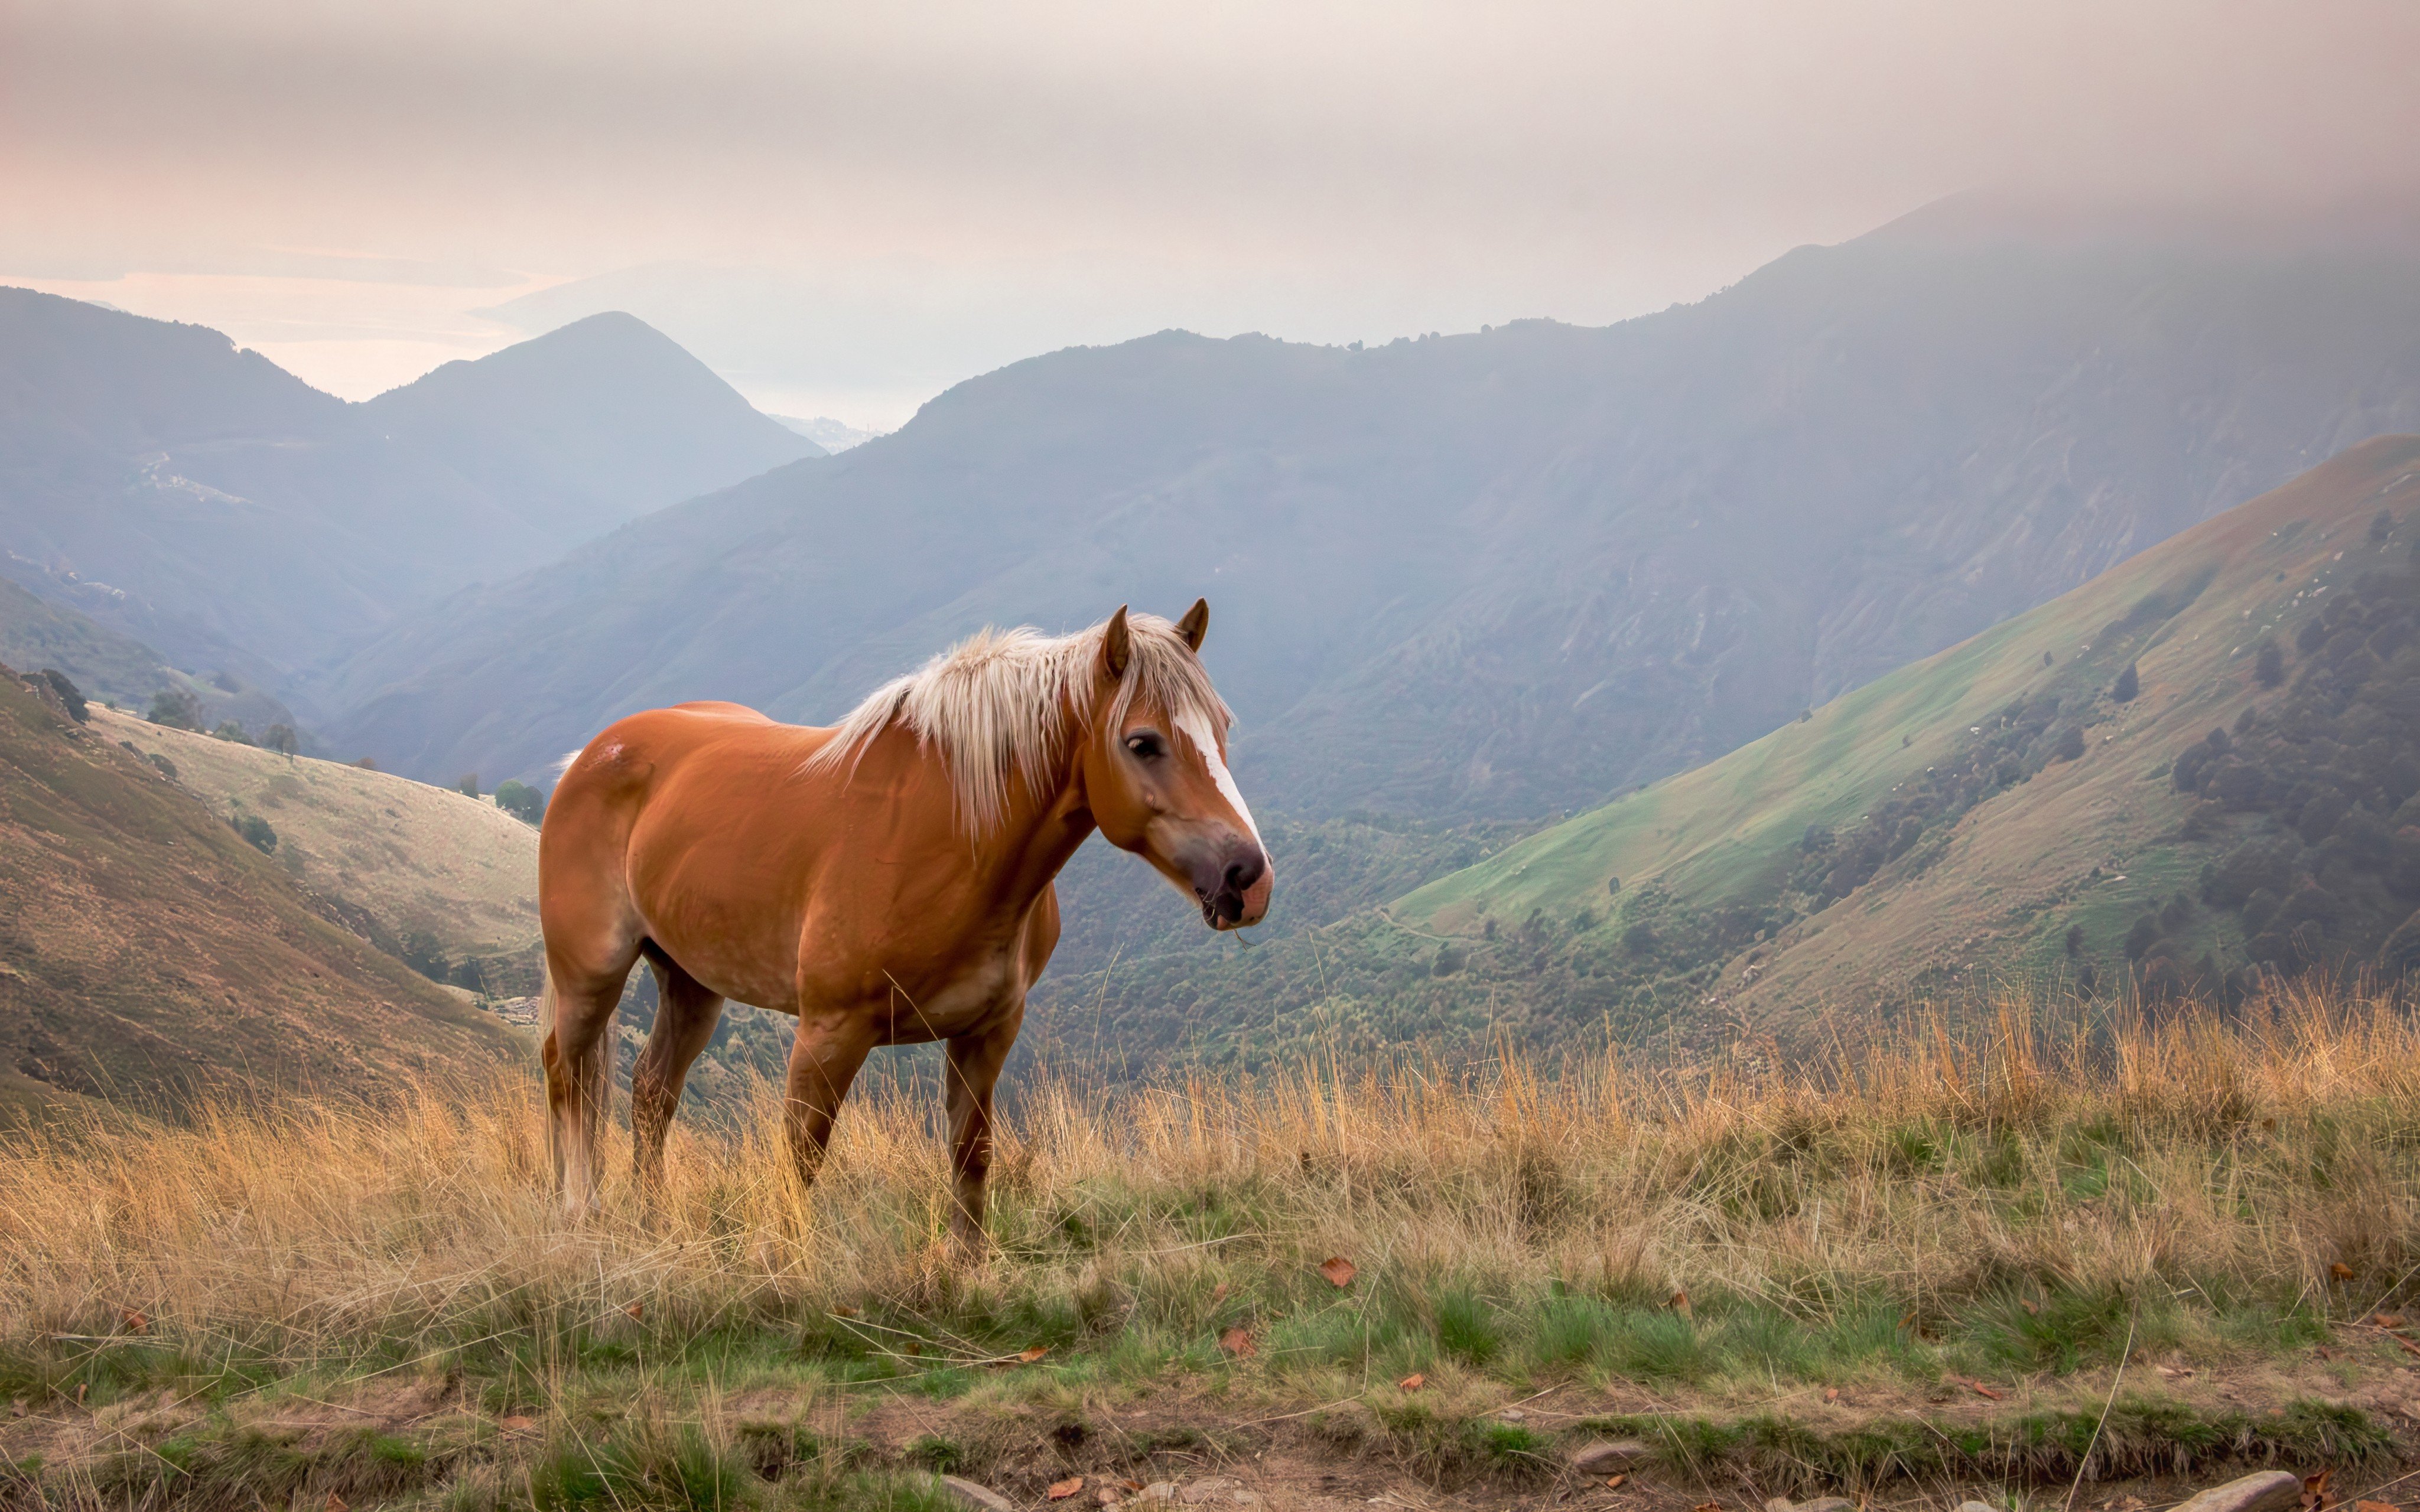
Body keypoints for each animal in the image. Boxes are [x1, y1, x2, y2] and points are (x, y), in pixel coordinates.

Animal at [539, 597, 1277, 1239]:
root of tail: (593, 755)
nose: (1248, 878)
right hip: (590, 977)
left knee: (650, 1092)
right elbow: (801, 1157)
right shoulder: (829, 1032)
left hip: (691, 983)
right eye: (1143, 742)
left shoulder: (986, 1034)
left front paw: (964, 1271)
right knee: (566, 1074)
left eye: (1222, 728)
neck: (948, 835)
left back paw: (652, 1222)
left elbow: (971, 1157)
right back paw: (578, 1215)